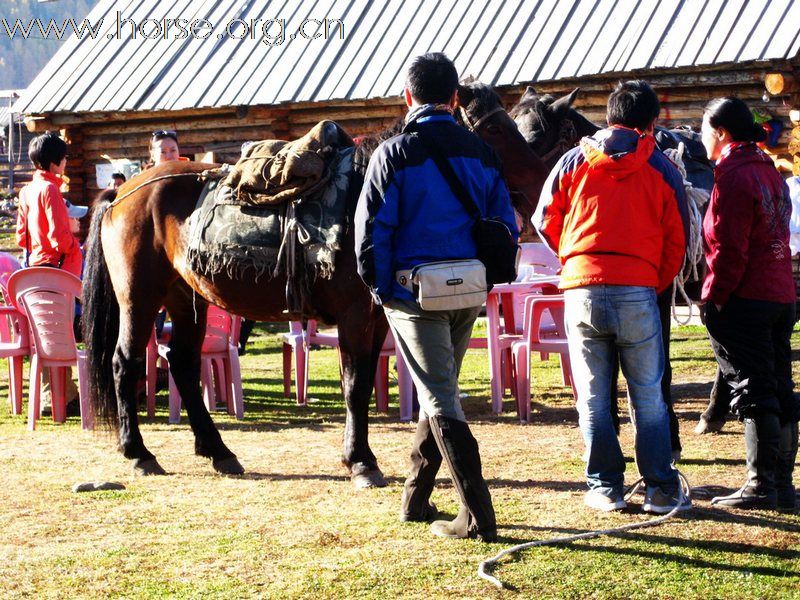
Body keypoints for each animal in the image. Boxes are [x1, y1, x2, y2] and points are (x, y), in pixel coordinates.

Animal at [83, 82, 552, 488]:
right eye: (494, 128)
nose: (538, 182)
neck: (365, 198)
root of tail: (125, 191)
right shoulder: (354, 317)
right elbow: (355, 385)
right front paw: (361, 462)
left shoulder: (377, 318)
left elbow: (369, 382)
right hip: (139, 299)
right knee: (125, 362)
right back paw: (139, 452)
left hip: (187, 299)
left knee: (182, 362)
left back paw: (219, 451)